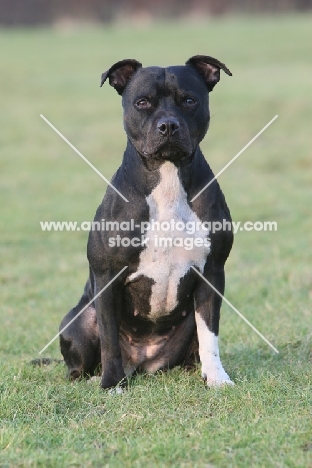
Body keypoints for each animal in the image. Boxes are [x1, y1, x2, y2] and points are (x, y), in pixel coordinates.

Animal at [59, 54, 234, 388]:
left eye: (189, 100)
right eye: (142, 102)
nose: (168, 125)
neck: (167, 176)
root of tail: (143, 363)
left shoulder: (211, 273)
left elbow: (210, 334)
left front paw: (217, 379)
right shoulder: (107, 276)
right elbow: (109, 339)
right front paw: (111, 385)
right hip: (78, 322)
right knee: (80, 364)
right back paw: (94, 378)